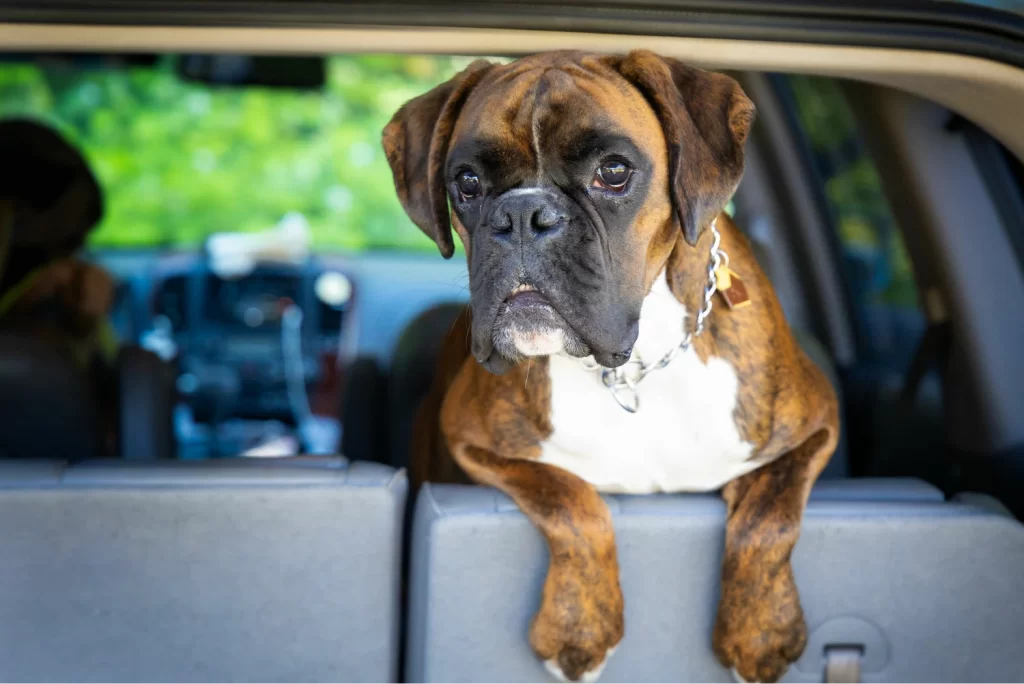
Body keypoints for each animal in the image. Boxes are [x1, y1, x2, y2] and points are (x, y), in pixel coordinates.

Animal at [385, 49, 839, 684]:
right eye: (468, 182)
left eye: (614, 171)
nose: (522, 214)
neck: (635, 365)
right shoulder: (473, 439)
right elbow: (570, 499)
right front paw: (580, 630)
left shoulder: (817, 425)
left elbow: (770, 515)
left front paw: (763, 632)